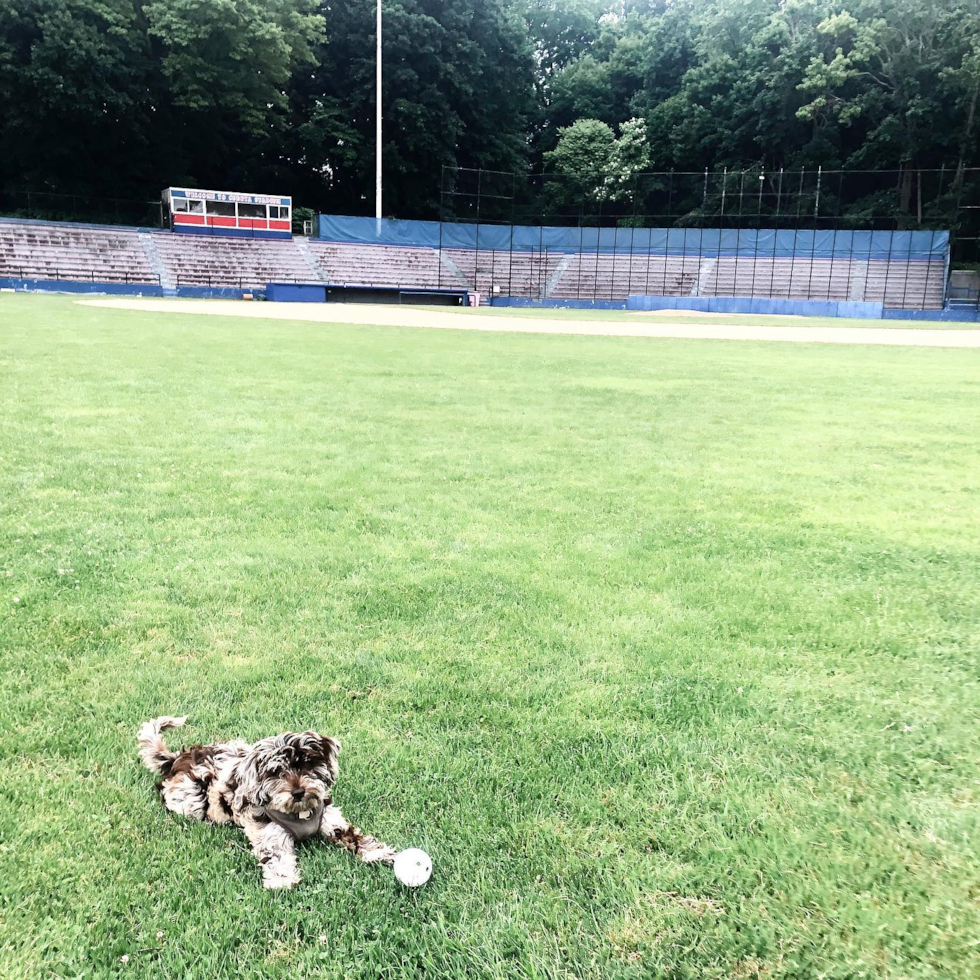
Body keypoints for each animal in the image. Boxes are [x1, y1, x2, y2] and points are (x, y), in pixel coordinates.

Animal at [139, 716, 398, 892]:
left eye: (306, 764)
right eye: (276, 773)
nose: (298, 792)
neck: (299, 813)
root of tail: (176, 759)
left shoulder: (330, 818)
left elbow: (352, 835)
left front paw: (376, 851)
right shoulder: (269, 834)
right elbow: (276, 856)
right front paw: (282, 879)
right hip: (190, 799)